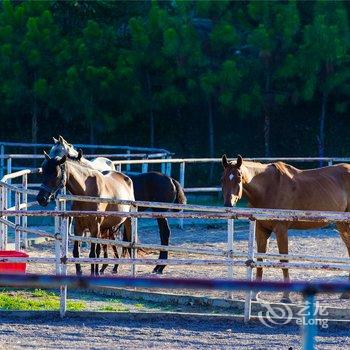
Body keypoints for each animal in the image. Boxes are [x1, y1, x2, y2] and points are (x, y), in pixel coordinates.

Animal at [221, 154, 350, 302]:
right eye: (222, 179)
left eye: (238, 178)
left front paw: (286, 296)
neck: (268, 188)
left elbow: (284, 260)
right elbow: (260, 258)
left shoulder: (281, 229)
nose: (228, 204)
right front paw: (255, 294)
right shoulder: (261, 229)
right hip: (342, 225)